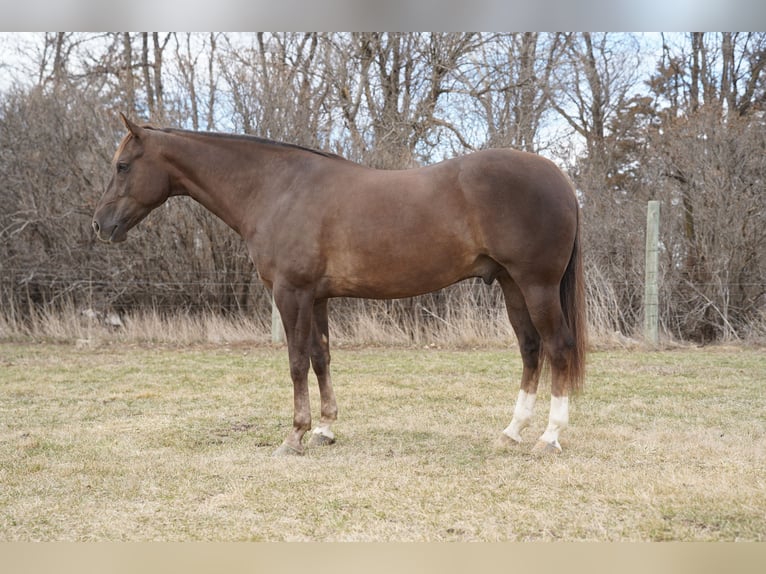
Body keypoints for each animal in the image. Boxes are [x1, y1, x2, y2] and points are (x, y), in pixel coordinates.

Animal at [93, 114, 586, 456]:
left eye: (123, 166)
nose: (100, 225)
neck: (276, 189)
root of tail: (559, 177)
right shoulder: (318, 297)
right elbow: (320, 357)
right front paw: (326, 429)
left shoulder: (291, 293)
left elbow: (295, 361)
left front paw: (295, 435)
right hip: (510, 284)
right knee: (530, 348)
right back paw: (512, 432)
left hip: (536, 285)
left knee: (558, 347)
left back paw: (549, 438)